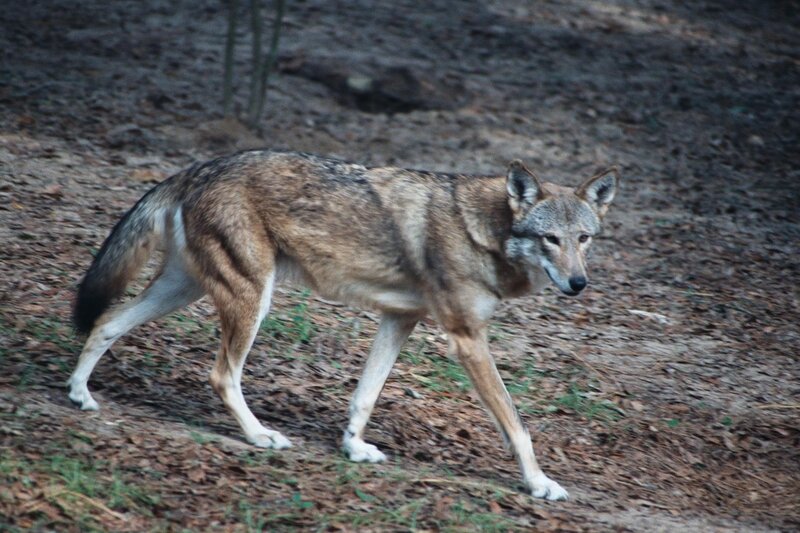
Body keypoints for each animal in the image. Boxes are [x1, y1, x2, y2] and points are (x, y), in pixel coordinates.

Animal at [67, 150, 618, 500]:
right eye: (549, 239)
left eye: (584, 238)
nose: (579, 283)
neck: (485, 233)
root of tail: (193, 168)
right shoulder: (467, 341)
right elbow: (517, 425)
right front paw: (539, 484)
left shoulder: (400, 319)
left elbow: (365, 396)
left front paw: (353, 447)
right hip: (252, 301)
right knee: (222, 375)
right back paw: (260, 436)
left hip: (187, 290)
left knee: (107, 321)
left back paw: (79, 395)